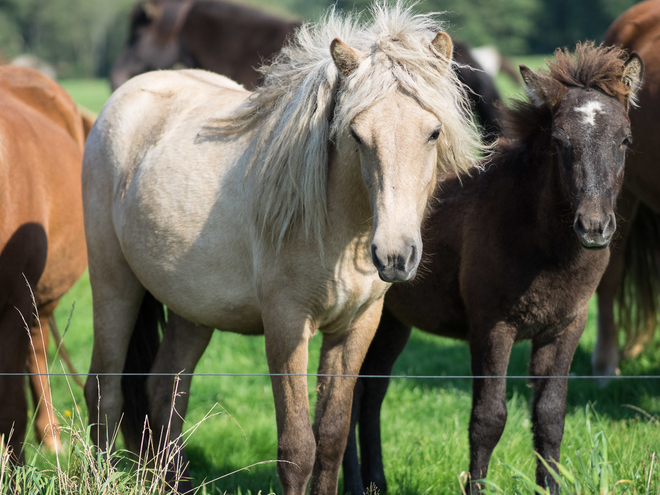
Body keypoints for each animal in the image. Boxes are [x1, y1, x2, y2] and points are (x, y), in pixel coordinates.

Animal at [342, 42, 640, 495]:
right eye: (559, 140)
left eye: (624, 139)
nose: (593, 226)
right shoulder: (491, 327)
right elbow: (488, 418)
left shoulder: (565, 327)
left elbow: (550, 417)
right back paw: (356, 483)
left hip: (392, 320)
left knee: (370, 392)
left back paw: (376, 481)